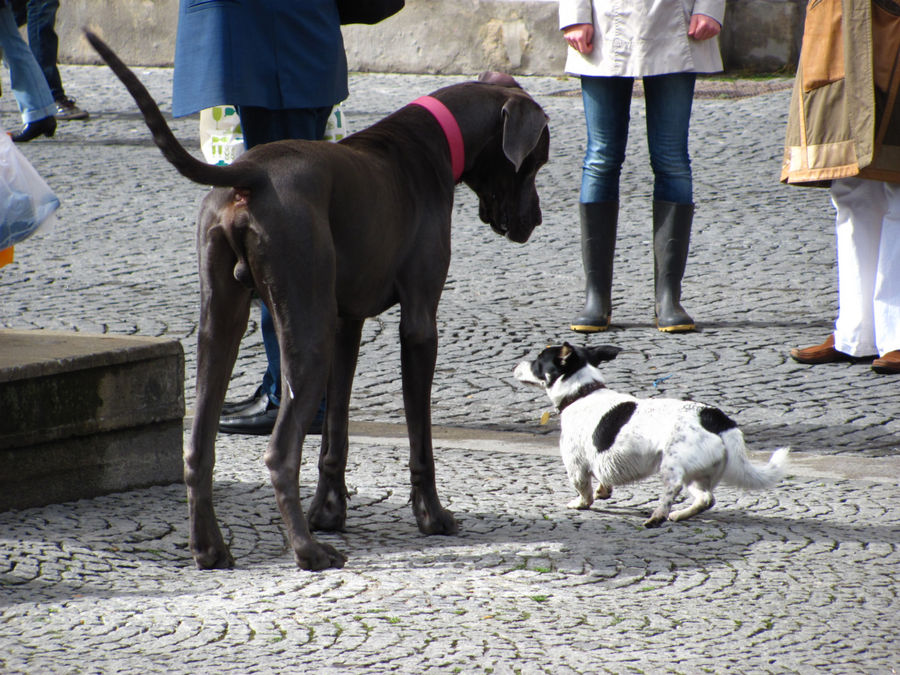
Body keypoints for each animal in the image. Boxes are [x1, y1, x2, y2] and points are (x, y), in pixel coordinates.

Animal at [88, 30, 548, 572]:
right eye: (537, 161)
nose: (535, 221)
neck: (432, 141)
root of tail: (251, 174)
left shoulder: (346, 323)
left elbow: (335, 430)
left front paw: (329, 511)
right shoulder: (418, 321)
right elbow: (420, 437)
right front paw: (431, 517)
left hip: (223, 325)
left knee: (198, 447)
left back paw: (210, 548)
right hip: (306, 331)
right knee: (279, 453)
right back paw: (307, 550)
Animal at [512, 344, 788, 528]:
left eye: (537, 361)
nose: (516, 364)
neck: (582, 392)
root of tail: (717, 419)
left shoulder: (575, 464)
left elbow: (583, 489)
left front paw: (581, 503)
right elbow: (603, 481)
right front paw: (603, 492)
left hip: (673, 467)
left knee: (673, 491)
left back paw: (657, 516)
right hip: (697, 474)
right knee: (707, 499)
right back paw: (678, 515)